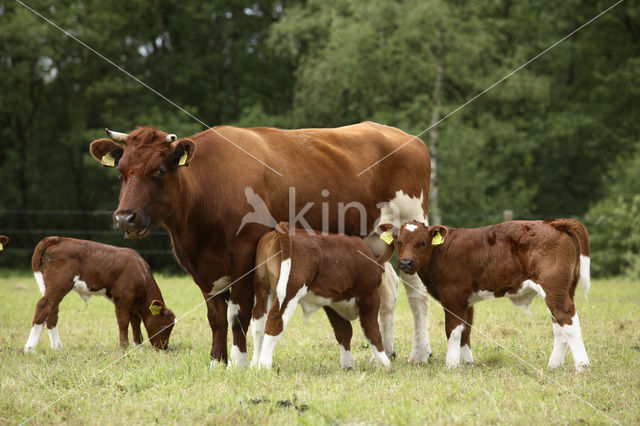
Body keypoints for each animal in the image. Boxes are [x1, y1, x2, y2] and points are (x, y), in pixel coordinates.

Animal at [24, 236, 175, 352]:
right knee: (43, 306)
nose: (163, 347)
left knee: (52, 312)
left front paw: (137, 345)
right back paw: (30, 348)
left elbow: (135, 322)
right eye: (166, 326)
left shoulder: (132, 302)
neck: (141, 272)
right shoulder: (123, 297)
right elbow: (123, 322)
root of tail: (55, 238)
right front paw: (124, 347)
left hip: (49, 287)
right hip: (59, 285)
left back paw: (56, 347)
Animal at [250, 223, 390, 370]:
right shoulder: (370, 294)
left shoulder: (333, 302)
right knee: (275, 320)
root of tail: (279, 231)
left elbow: (343, 331)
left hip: (263, 288)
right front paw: (384, 363)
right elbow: (372, 330)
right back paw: (264, 366)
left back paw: (254, 364)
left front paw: (348, 365)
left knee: (259, 320)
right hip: (289, 292)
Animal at [380, 220, 592, 370]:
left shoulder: (452, 296)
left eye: (422, 243)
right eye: (398, 242)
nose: (405, 263)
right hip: (563, 290)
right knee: (559, 325)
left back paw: (582, 365)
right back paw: (554, 364)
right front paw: (466, 362)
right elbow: (466, 329)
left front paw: (451, 364)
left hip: (554, 289)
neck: (441, 252)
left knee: (567, 319)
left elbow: (452, 330)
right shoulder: (466, 300)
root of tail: (552, 223)